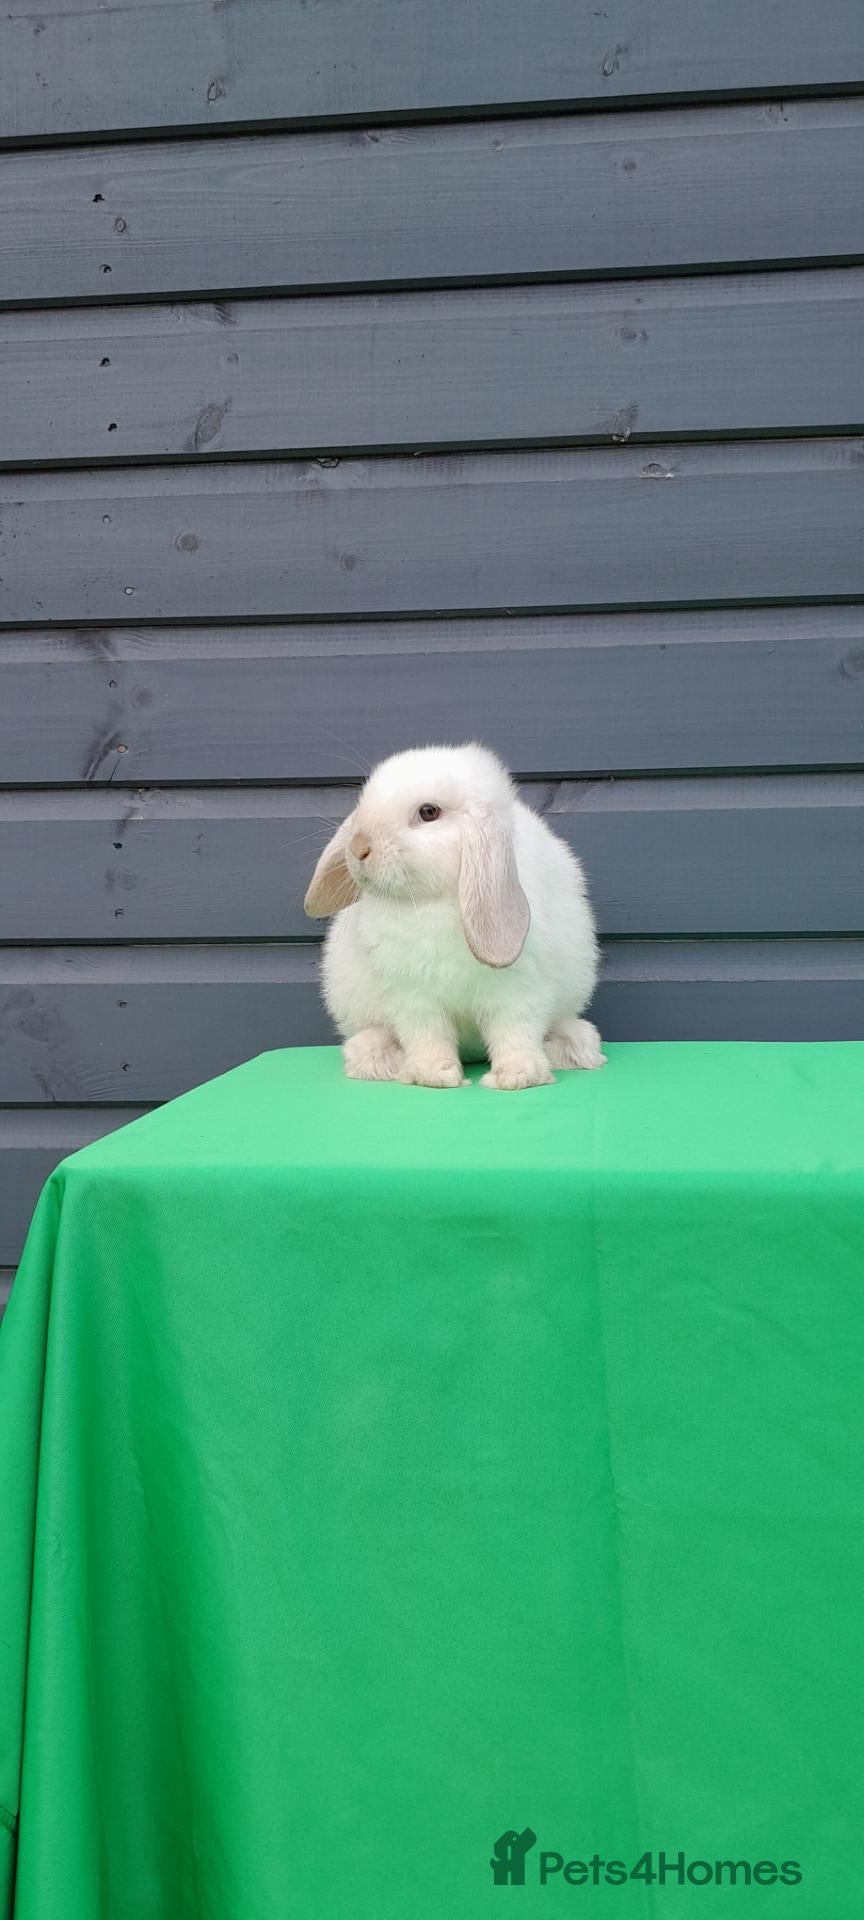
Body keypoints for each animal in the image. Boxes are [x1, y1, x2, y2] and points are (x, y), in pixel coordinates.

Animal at [304, 742, 606, 1091]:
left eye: (428, 812)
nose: (358, 847)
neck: (436, 901)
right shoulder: (413, 996)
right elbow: (426, 1035)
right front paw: (434, 1076)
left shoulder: (519, 991)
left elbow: (516, 1031)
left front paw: (516, 1076)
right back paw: (377, 1057)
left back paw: (576, 1047)